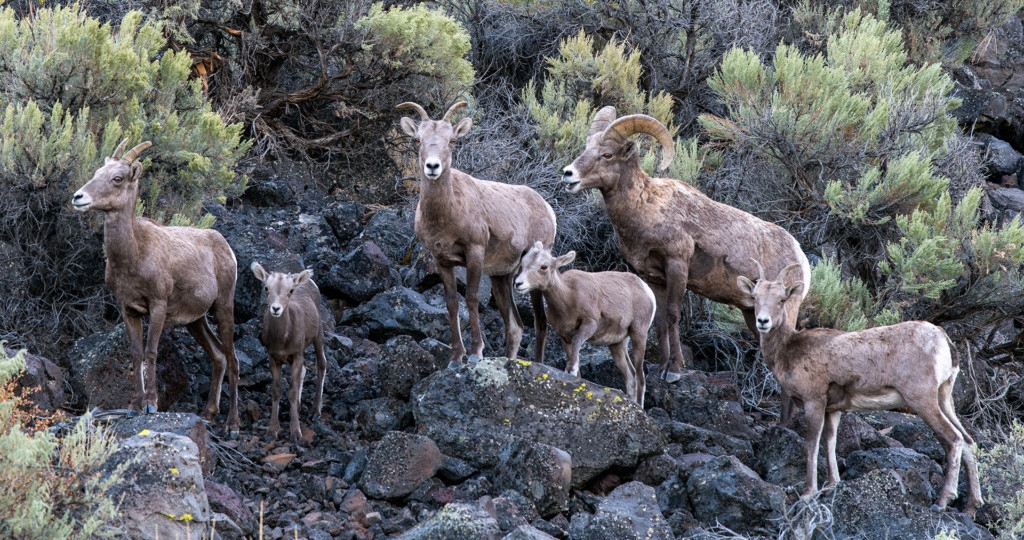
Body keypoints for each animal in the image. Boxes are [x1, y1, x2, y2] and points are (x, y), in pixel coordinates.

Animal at [72, 139, 240, 432]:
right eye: (97, 173)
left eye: (117, 178)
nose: (78, 197)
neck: (135, 254)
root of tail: (224, 245)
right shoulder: (129, 309)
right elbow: (136, 354)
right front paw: (134, 407)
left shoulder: (158, 306)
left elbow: (151, 352)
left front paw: (151, 404)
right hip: (195, 321)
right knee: (218, 356)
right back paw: (208, 414)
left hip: (223, 307)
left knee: (232, 358)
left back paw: (232, 424)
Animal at [251, 263, 327, 443]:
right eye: (266, 288)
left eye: (291, 291)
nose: (276, 308)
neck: (282, 339)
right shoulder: (274, 358)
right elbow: (276, 391)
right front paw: (272, 431)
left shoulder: (296, 355)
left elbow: (291, 392)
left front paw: (295, 433)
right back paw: (298, 408)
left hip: (318, 335)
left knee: (321, 364)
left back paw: (315, 411)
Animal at [397, 101, 557, 366]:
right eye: (418, 140)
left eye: (452, 140)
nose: (432, 167)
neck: (446, 214)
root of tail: (547, 207)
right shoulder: (442, 260)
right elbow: (452, 303)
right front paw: (455, 357)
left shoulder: (475, 253)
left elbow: (471, 298)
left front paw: (474, 353)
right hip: (501, 277)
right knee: (515, 326)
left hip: (534, 272)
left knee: (540, 322)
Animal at [514, 241, 655, 407]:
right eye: (523, 263)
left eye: (544, 267)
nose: (518, 283)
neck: (568, 297)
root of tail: (647, 290)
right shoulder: (565, 338)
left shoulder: (589, 324)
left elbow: (577, 347)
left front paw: (570, 370)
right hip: (617, 344)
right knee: (630, 376)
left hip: (638, 334)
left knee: (640, 378)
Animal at [737, 260, 984, 516]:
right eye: (755, 297)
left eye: (782, 299)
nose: (762, 322)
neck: (788, 351)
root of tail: (943, 340)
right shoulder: (832, 409)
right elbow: (830, 443)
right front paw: (832, 486)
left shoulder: (814, 402)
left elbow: (811, 445)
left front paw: (808, 494)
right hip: (944, 398)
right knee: (968, 443)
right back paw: (971, 507)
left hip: (922, 400)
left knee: (954, 439)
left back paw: (942, 501)